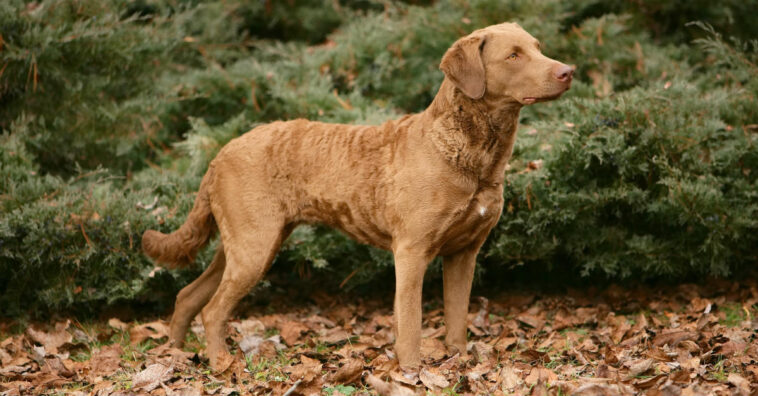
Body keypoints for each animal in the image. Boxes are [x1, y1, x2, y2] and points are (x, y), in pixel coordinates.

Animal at [142, 22, 572, 372]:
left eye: (538, 47)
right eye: (513, 55)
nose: (568, 71)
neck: (468, 155)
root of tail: (220, 153)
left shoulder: (464, 252)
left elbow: (457, 317)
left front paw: (459, 361)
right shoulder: (412, 251)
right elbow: (411, 321)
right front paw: (412, 371)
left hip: (245, 243)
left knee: (188, 295)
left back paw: (175, 356)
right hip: (254, 246)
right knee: (212, 309)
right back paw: (220, 363)